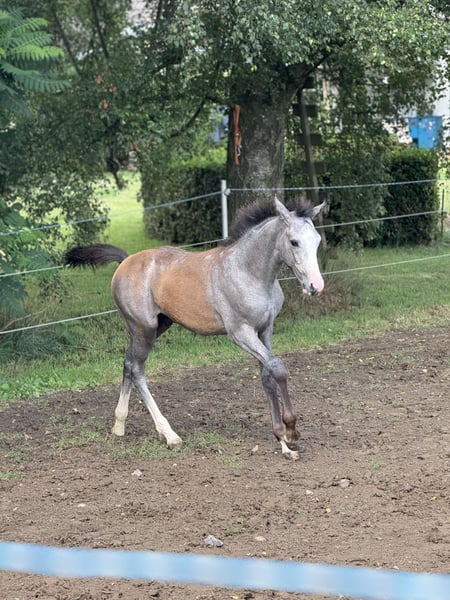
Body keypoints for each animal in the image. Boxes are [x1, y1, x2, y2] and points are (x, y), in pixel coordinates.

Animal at [65, 196, 326, 460]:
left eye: (317, 240)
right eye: (294, 242)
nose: (315, 286)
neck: (247, 271)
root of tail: (126, 260)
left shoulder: (265, 329)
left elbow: (267, 375)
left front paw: (282, 442)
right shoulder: (240, 332)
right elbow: (278, 368)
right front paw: (291, 432)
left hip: (156, 326)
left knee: (128, 364)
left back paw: (119, 426)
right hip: (143, 329)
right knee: (137, 369)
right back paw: (169, 435)